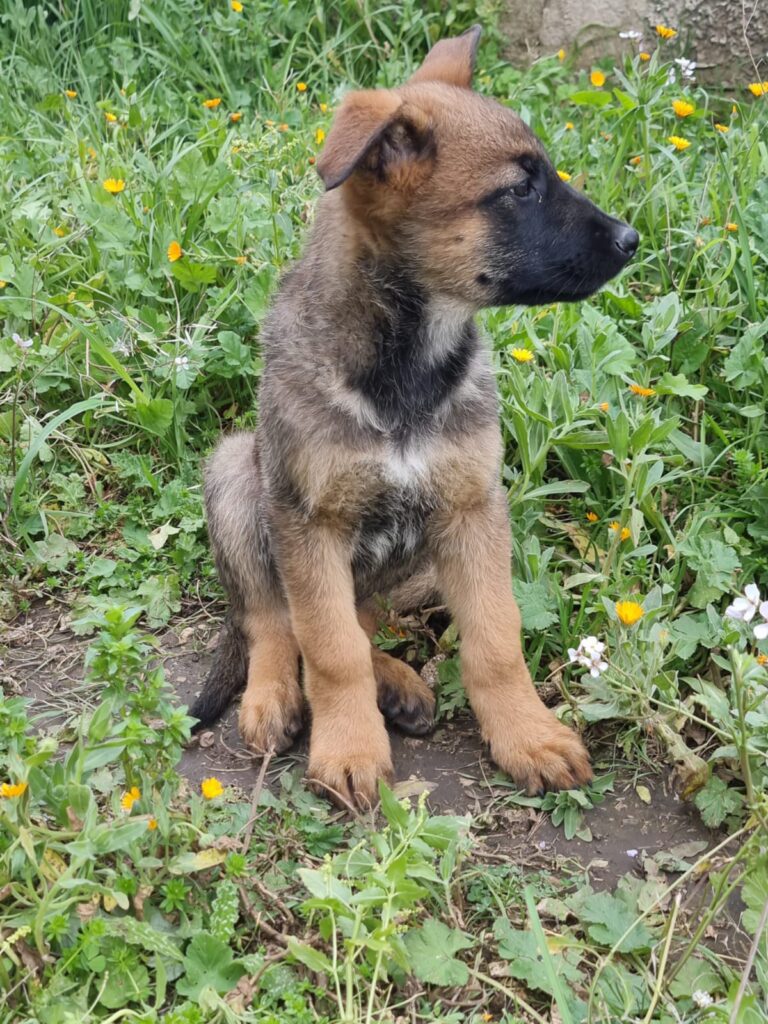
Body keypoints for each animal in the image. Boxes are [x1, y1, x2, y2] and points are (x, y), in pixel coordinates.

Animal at [191, 25, 638, 806]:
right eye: (518, 189)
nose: (631, 239)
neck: (408, 367)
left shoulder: (473, 510)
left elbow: (495, 638)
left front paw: (527, 735)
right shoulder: (309, 523)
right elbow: (328, 647)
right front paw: (347, 745)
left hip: (426, 564)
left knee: (364, 621)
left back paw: (397, 684)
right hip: (238, 474)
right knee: (274, 621)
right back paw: (274, 695)